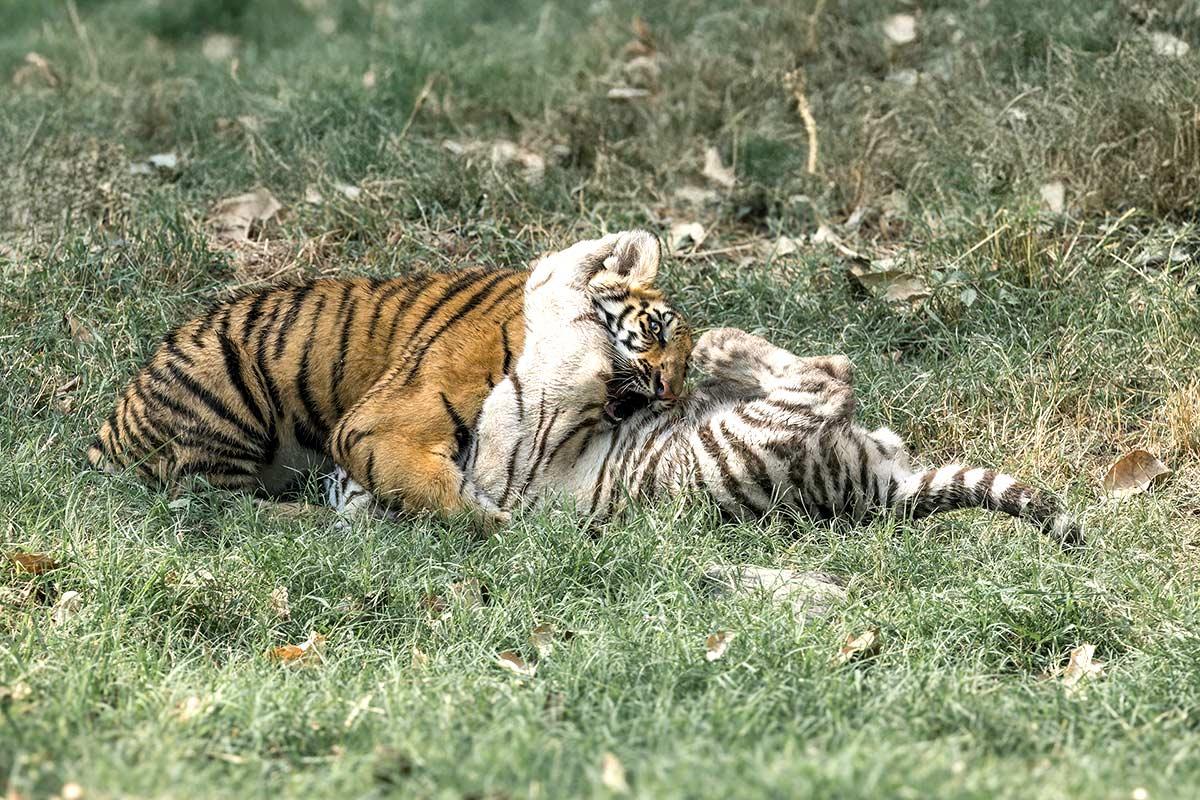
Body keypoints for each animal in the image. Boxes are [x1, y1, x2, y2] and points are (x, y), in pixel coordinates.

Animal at [86, 233, 692, 525]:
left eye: (688, 368)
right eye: (656, 330)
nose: (669, 393)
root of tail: (108, 433)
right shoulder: (378, 424)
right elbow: (441, 491)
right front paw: (497, 527)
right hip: (226, 390)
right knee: (214, 503)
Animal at [439, 229, 1082, 544]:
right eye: (657, 331)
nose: (671, 390)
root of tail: (881, 494)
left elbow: (554, 279)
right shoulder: (551, 380)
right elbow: (554, 284)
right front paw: (620, 255)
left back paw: (718, 352)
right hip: (756, 437)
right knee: (834, 371)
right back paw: (722, 346)